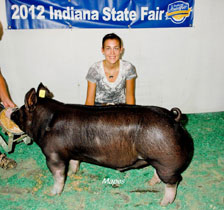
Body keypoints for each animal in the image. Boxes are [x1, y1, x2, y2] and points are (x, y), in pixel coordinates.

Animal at [9, 83, 193, 206]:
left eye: (21, 109)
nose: (11, 113)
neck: (45, 121)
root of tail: (174, 118)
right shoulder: (74, 152)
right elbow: (74, 162)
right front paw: (74, 173)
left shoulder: (53, 154)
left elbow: (58, 175)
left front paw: (53, 193)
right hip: (159, 161)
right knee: (160, 174)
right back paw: (150, 184)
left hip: (167, 161)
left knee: (174, 181)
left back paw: (163, 203)